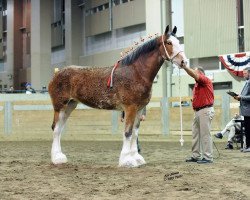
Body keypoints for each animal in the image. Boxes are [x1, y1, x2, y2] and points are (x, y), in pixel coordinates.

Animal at [48, 26, 186, 167]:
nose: (183, 61)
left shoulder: (139, 109)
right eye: (169, 43)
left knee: (59, 129)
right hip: (60, 106)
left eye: (178, 41)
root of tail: (56, 74)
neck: (137, 73)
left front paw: (136, 158)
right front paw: (127, 160)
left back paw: (60, 156)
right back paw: (56, 158)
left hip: (70, 106)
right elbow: (128, 132)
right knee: (56, 128)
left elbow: (135, 133)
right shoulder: (130, 108)